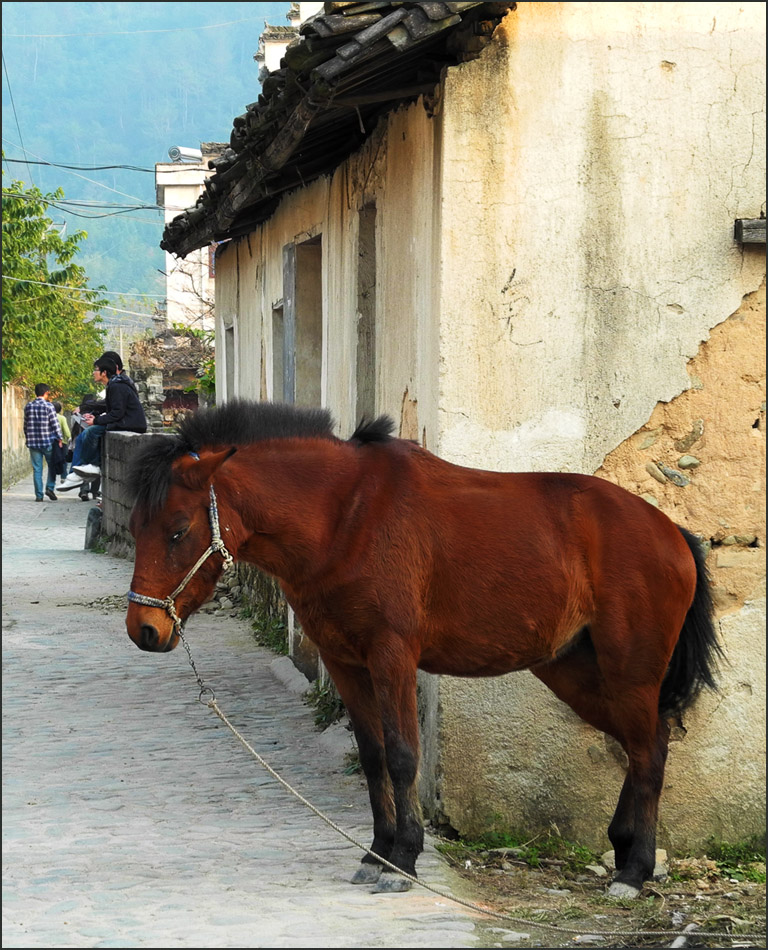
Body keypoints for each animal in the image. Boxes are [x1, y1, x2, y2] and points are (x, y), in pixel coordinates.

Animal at [124, 400, 720, 900]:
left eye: (177, 530)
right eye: (135, 526)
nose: (143, 629)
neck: (346, 517)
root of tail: (671, 531)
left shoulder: (392, 656)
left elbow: (402, 755)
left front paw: (404, 860)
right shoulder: (345, 662)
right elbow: (372, 756)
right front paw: (377, 853)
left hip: (629, 671)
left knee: (649, 753)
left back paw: (635, 871)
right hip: (574, 672)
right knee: (644, 744)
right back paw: (624, 849)